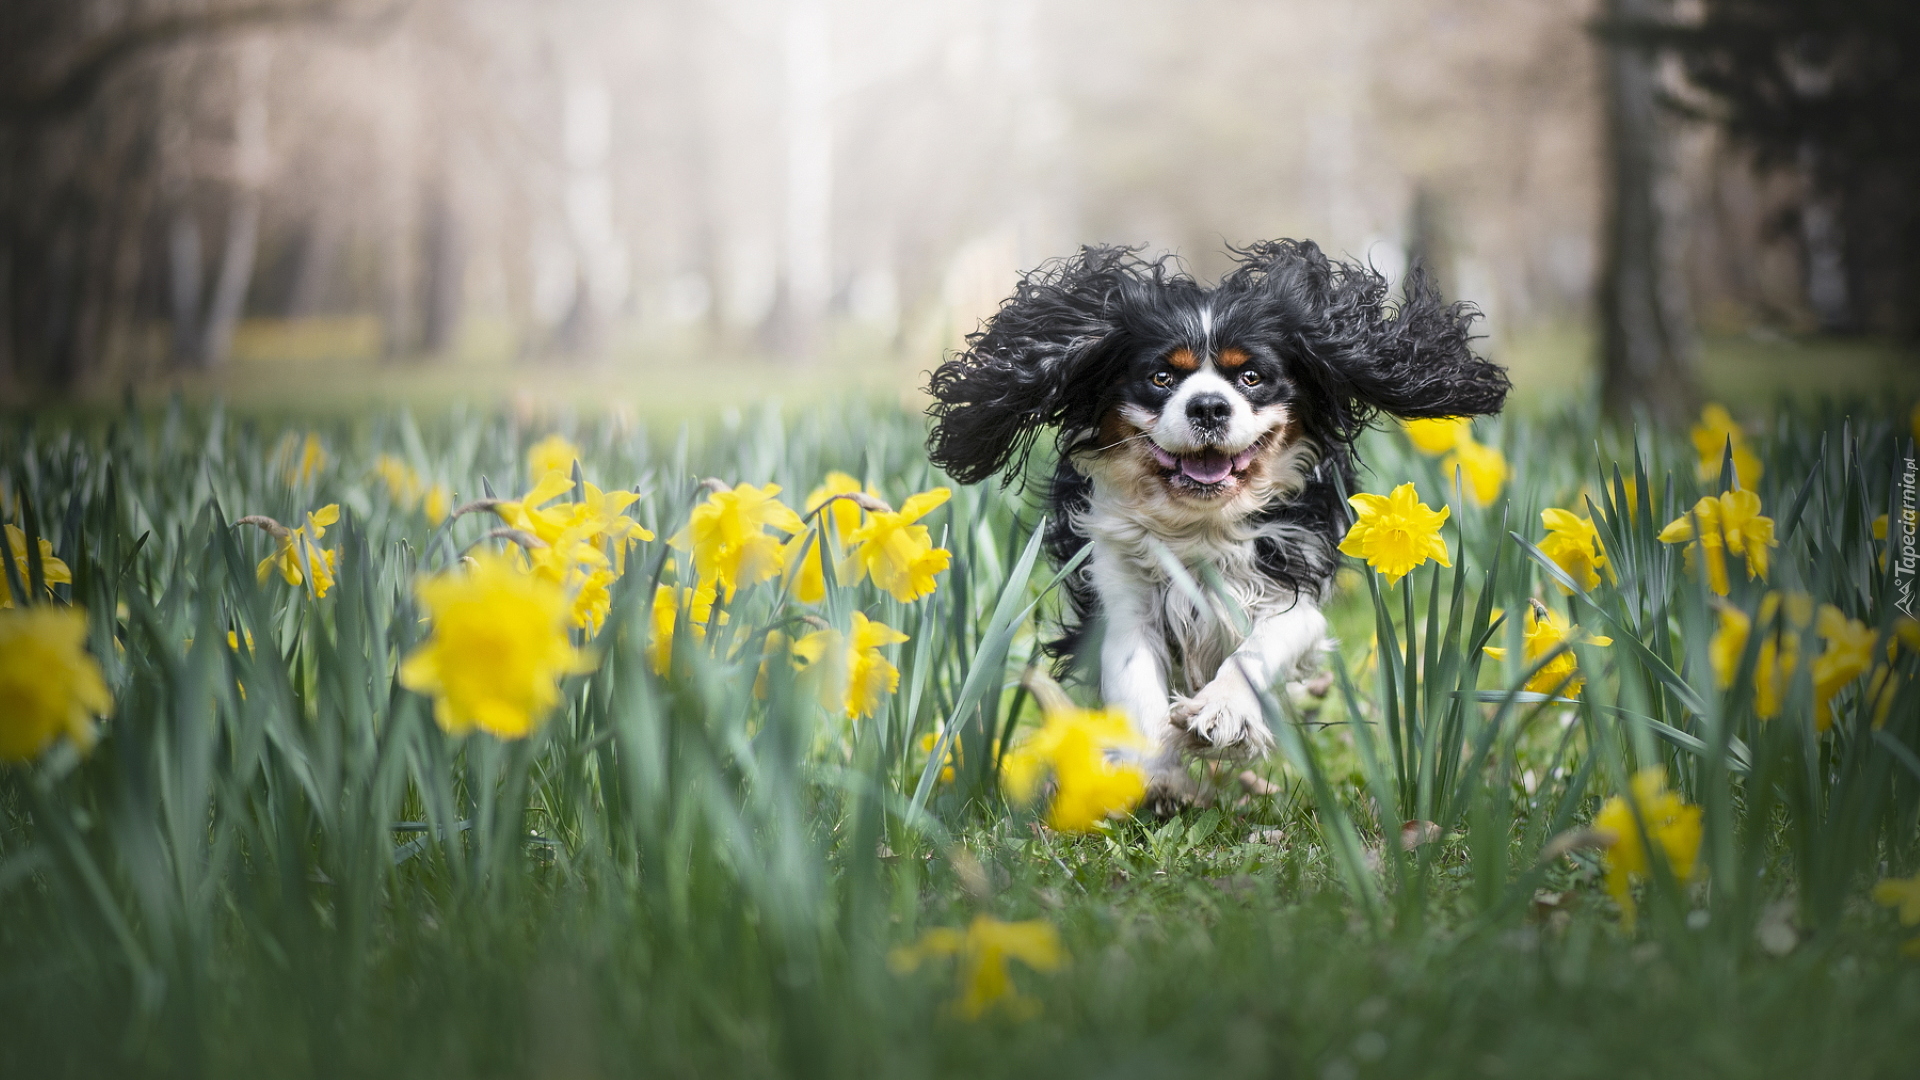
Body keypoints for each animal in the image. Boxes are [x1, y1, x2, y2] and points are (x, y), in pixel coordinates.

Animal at [921, 237, 1505, 807]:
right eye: (1161, 377)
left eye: (1251, 376)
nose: (1207, 406)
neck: (1200, 523)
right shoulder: (1121, 595)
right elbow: (1135, 680)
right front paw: (1157, 776)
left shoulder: (1297, 587)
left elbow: (1260, 647)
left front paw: (1223, 715)